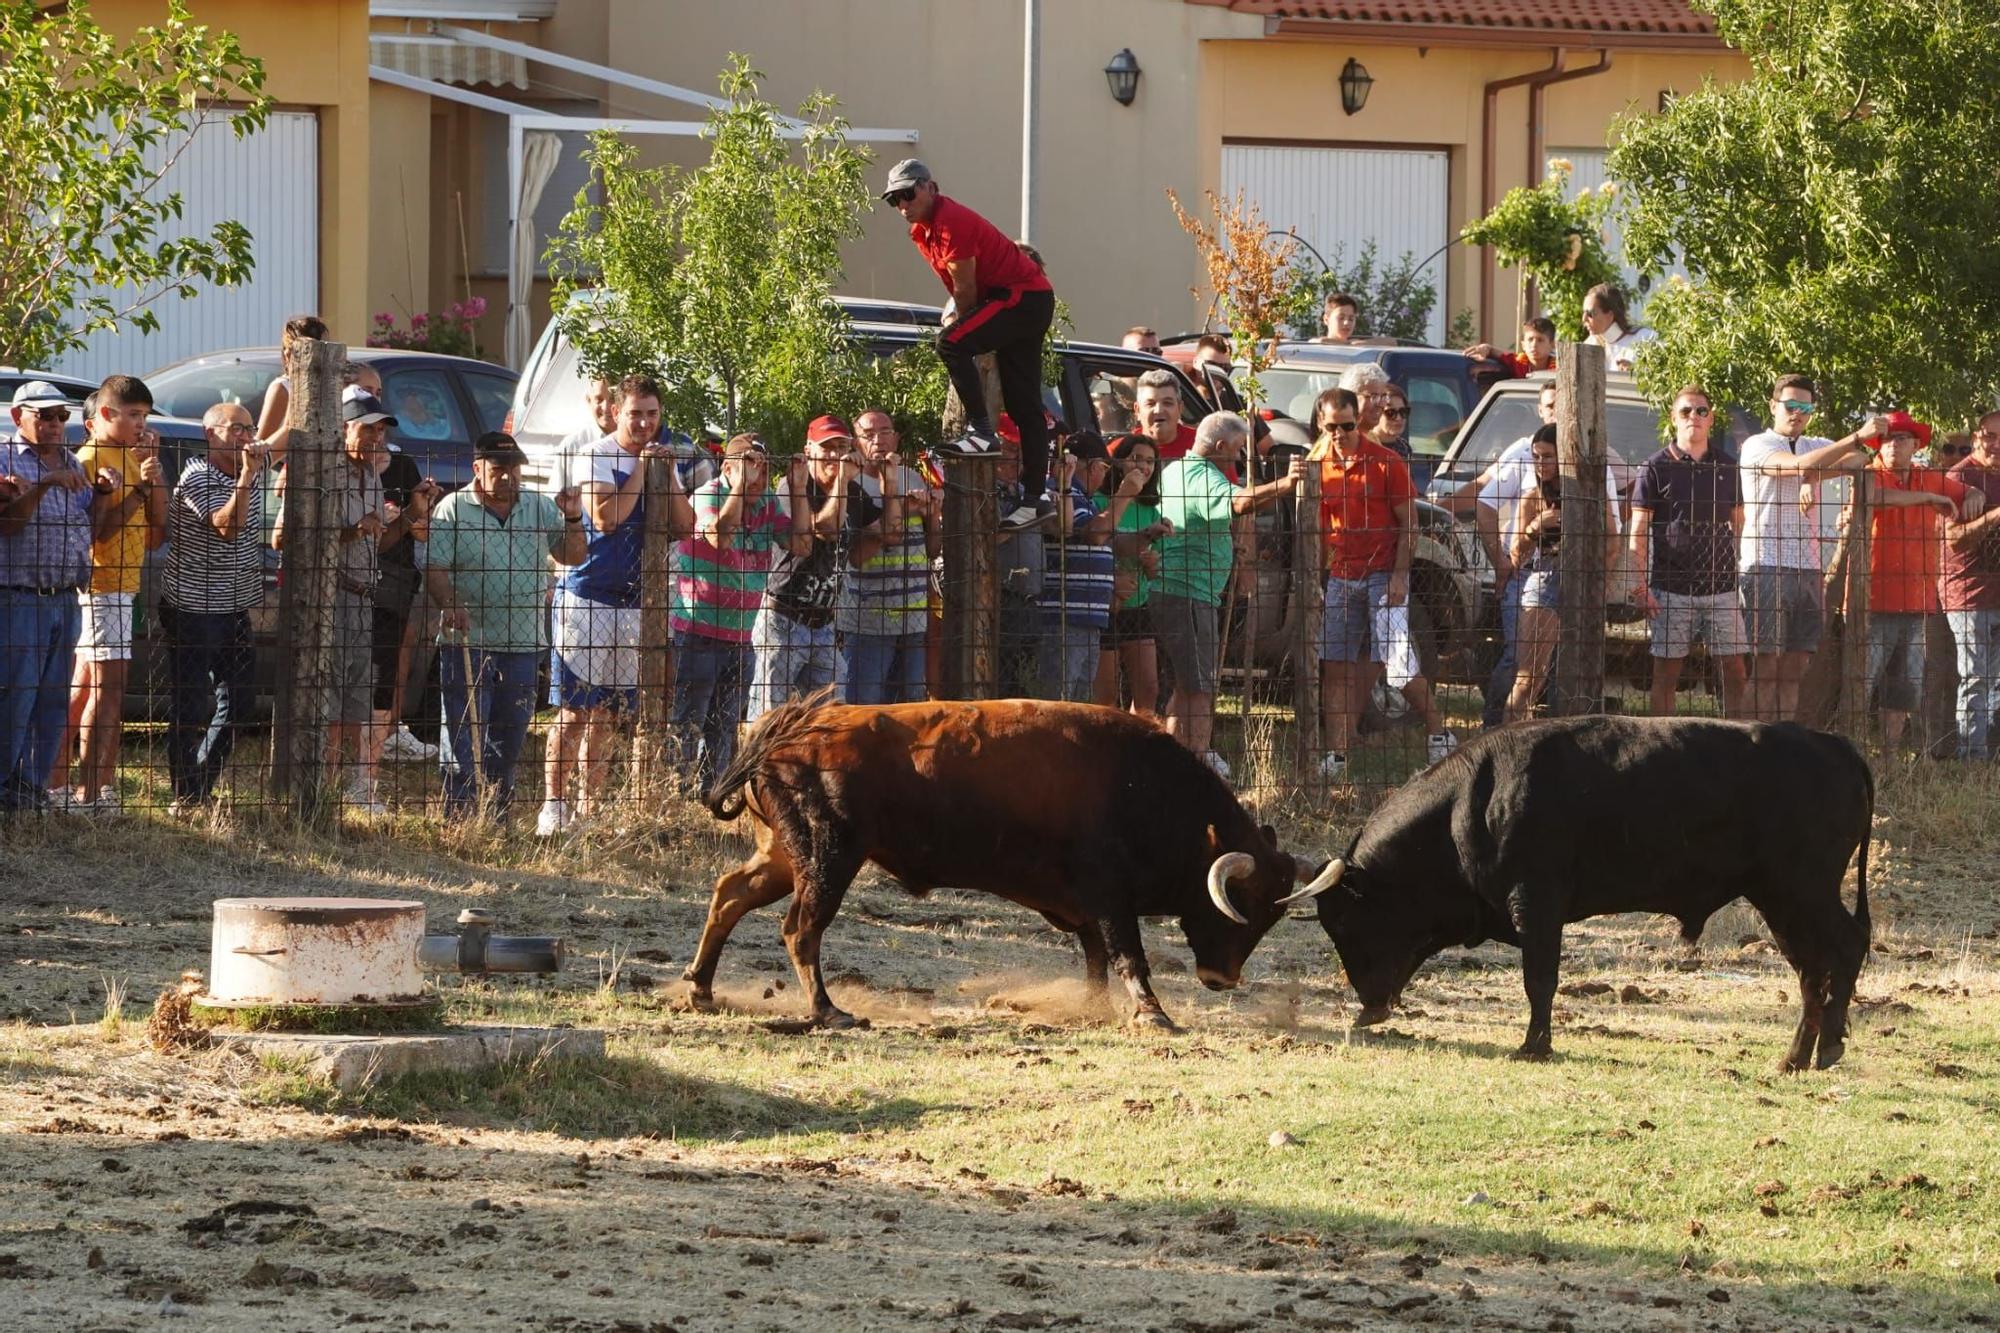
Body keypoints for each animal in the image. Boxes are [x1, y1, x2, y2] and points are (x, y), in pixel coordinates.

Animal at [1312, 716, 1872, 1072]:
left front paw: (1534, 1046)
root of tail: (1835, 746)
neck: (1467, 805)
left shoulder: (1535, 904)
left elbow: (1540, 979)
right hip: (1781, 901)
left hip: (1801, 891)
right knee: (1812, 968)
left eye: (1342, 922)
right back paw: (1797, 1057)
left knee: (1843, 948)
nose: (1368, 1008)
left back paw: (1827, 1047)